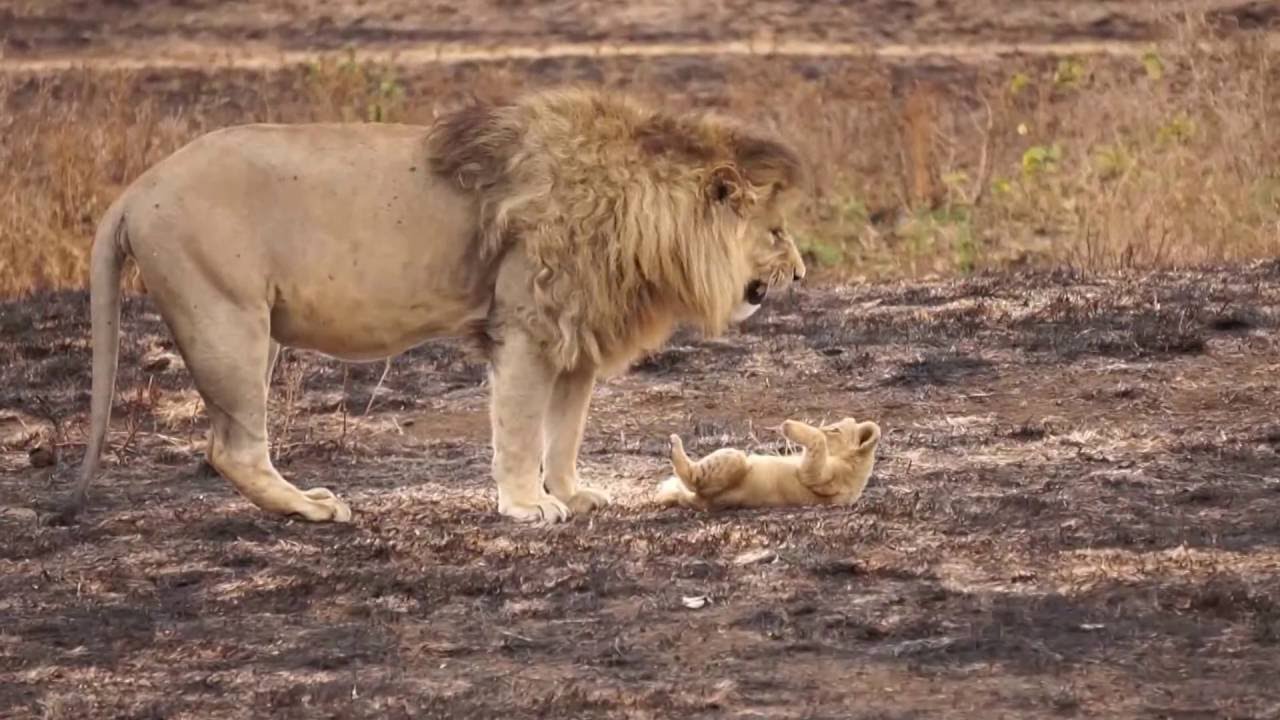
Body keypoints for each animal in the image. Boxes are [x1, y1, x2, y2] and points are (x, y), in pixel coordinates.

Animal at [62, 86, 809, 526]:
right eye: (775, 231)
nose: (801, 273)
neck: (642, 216)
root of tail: (137, 188)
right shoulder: (527, 328)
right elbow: (520, 430)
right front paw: (527, 507)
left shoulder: (576, 336)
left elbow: (564, 432)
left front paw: (572, 493)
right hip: (226, 320)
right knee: (234, 448)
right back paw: (313, 509)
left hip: (249, 326)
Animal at [656, 418, 881, 511]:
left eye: (835, 429)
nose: (824, 426)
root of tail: (700, 501)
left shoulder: (831, 479)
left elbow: (812, 467)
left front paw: (788, 425)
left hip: (734, 464)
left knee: (696, 477)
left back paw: (673, 444)